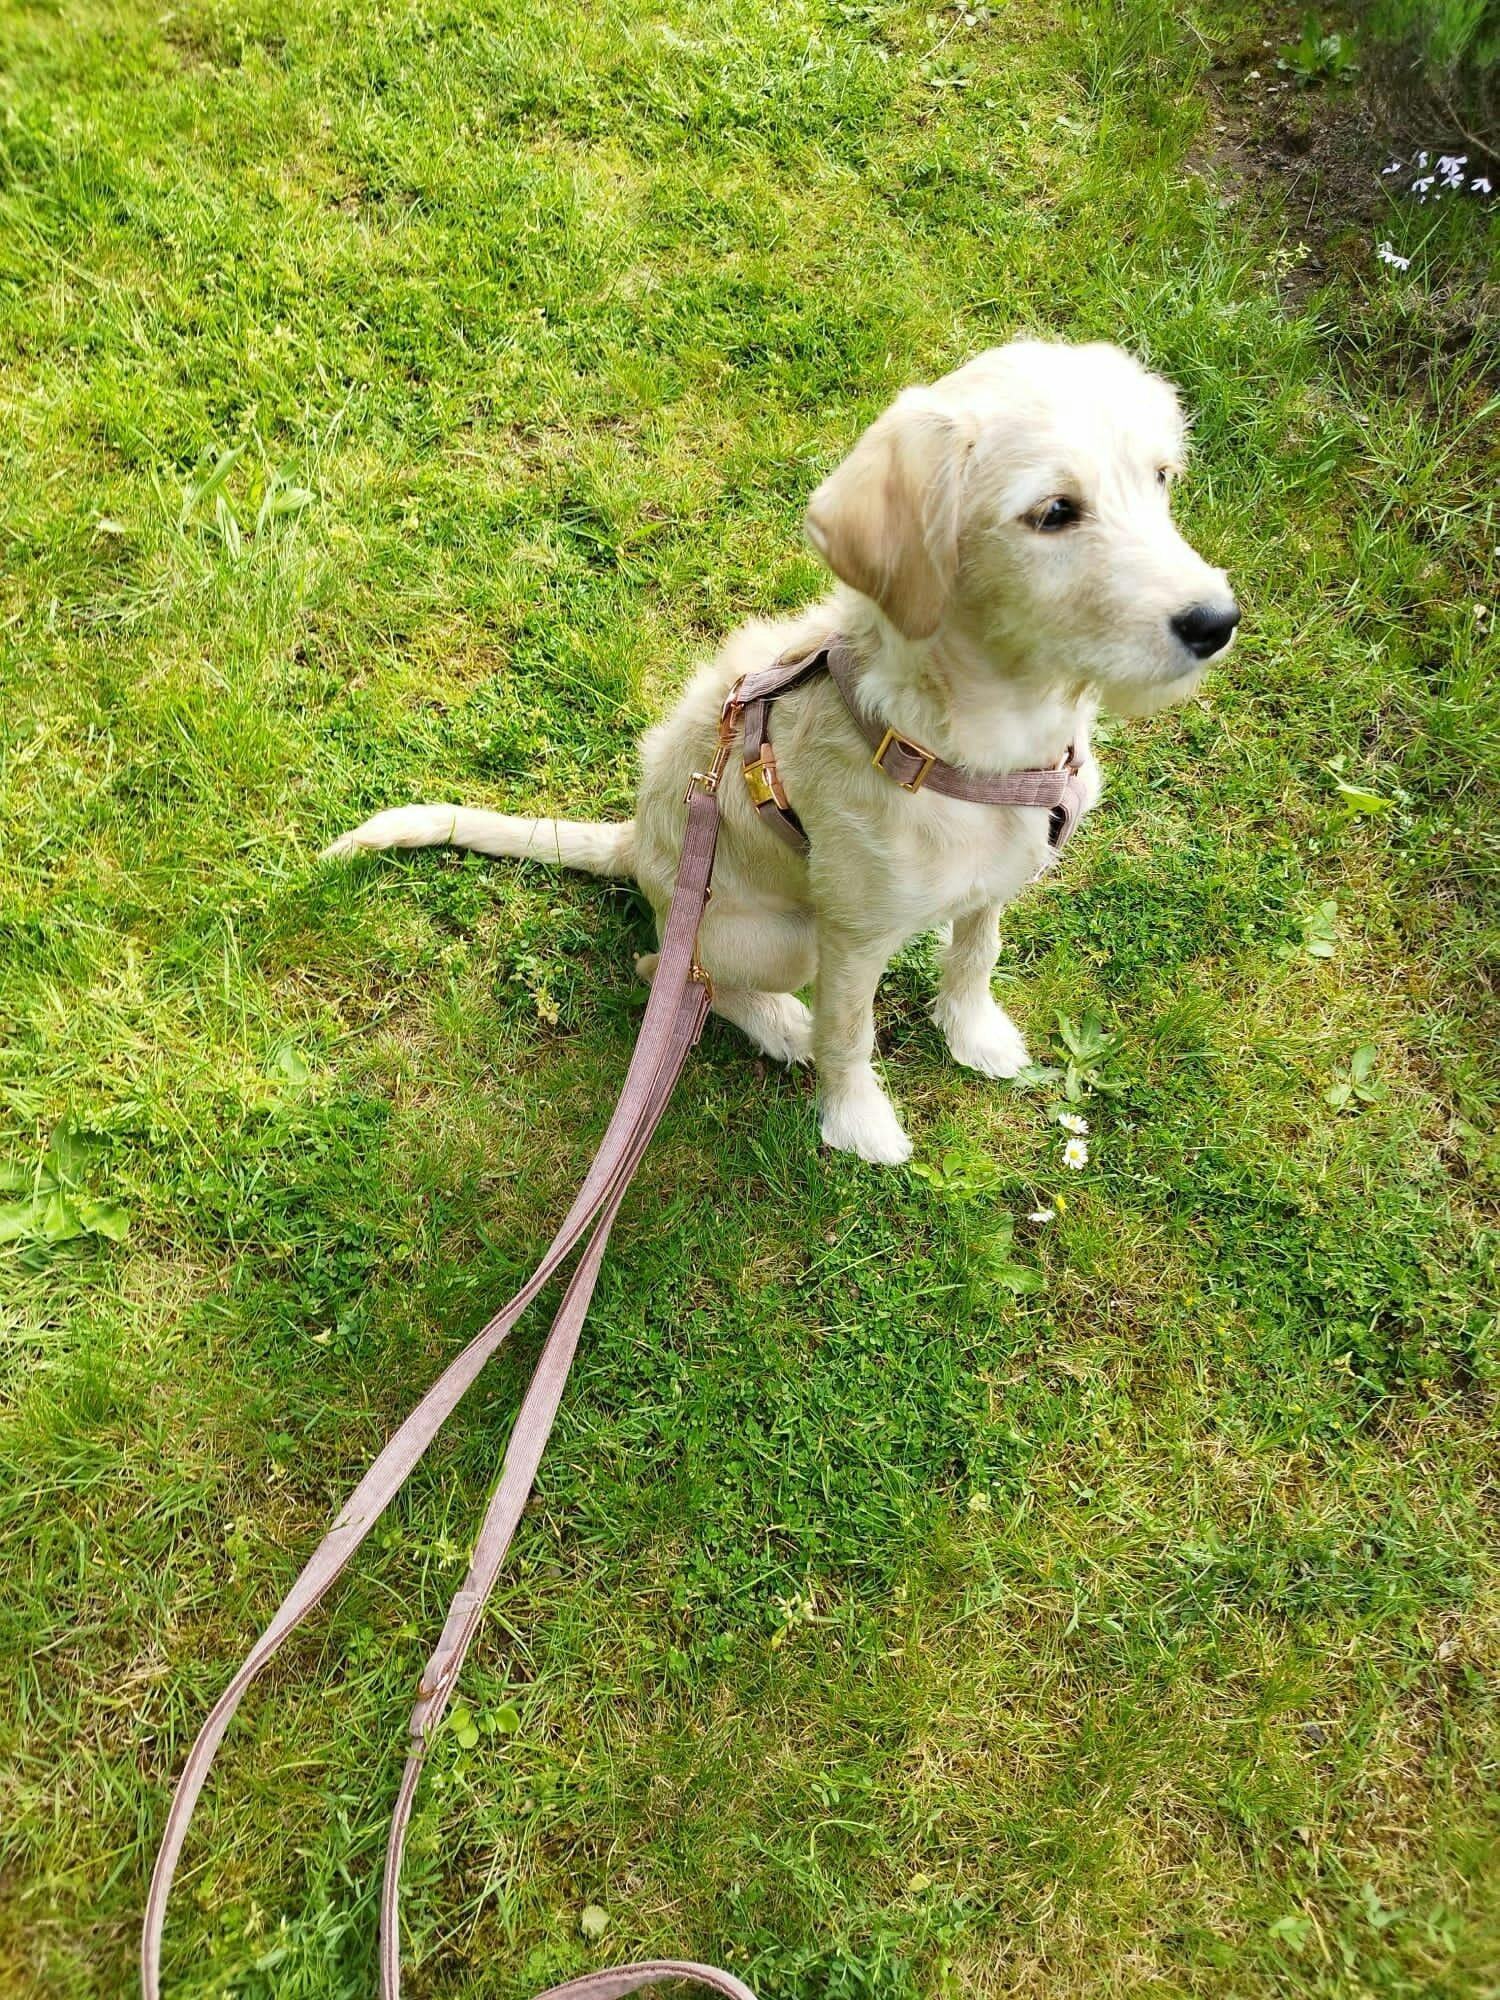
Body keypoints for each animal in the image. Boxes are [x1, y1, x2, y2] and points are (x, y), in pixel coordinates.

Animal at [325, 339, 1238, 1164]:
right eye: (1053, 512)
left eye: (1162, 478)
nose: (1217, 622)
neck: (973, 737)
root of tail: (636, 847)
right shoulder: (851, 935)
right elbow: (849, 1034)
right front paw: (857, 1120)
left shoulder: (999, 880)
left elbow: (977, 956)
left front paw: (975, 1035)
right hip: (779, 935)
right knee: (670, 971)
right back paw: (777, 1023)